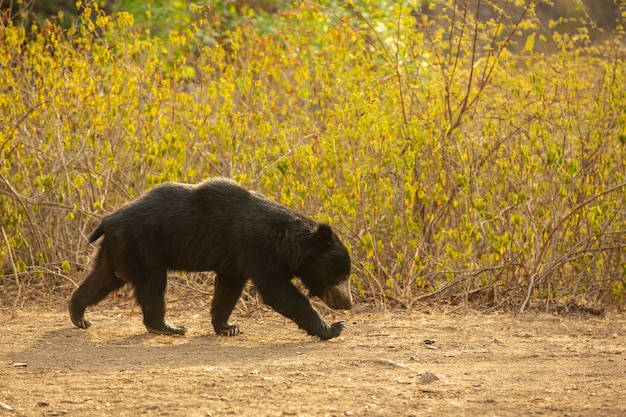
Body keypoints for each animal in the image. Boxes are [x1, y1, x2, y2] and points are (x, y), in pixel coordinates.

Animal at [69, 177, 352, 340]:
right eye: (340, 275)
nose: (347, 304)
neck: (286, 244)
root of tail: (108, 220)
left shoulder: (235, 261)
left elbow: (228, 289)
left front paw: (228, 326)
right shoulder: (259, 251)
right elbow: (279, 292)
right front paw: (333, 328)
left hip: (118, 248)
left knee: (103, 278)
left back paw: (79, 314)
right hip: (143, 245)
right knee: (152, 284)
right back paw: (168, 327)